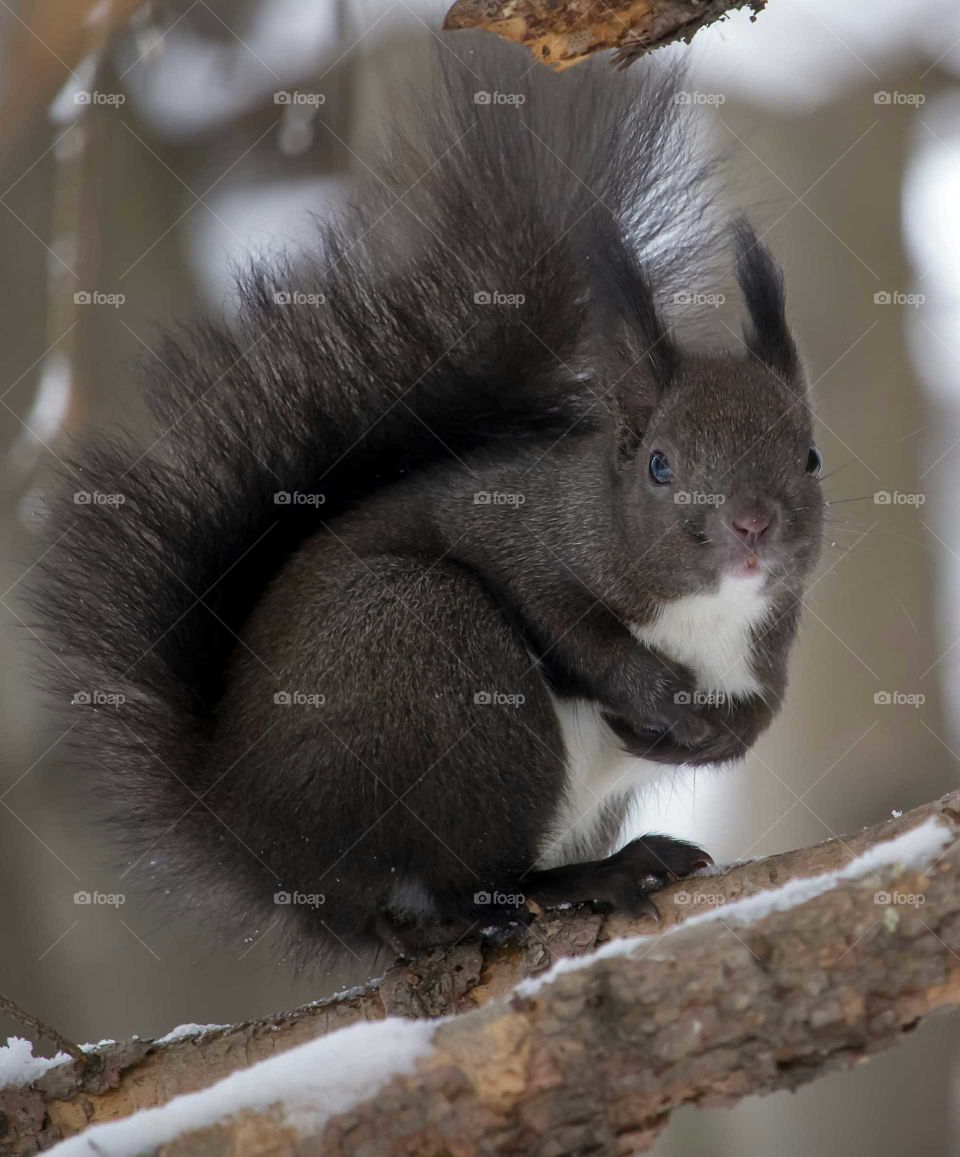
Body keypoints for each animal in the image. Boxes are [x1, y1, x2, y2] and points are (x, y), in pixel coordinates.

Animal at [31, 40, 828, 962]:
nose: (752, 524)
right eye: (661, 465)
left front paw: (724, 731)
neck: (707, 614)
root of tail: (248, 832)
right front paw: (659, 694)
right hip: (441, 666)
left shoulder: (767, 641)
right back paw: (581, 880)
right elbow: (565, 619)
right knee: (459, 883)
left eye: (812, 456)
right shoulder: (521, 531)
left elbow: (766, 706)